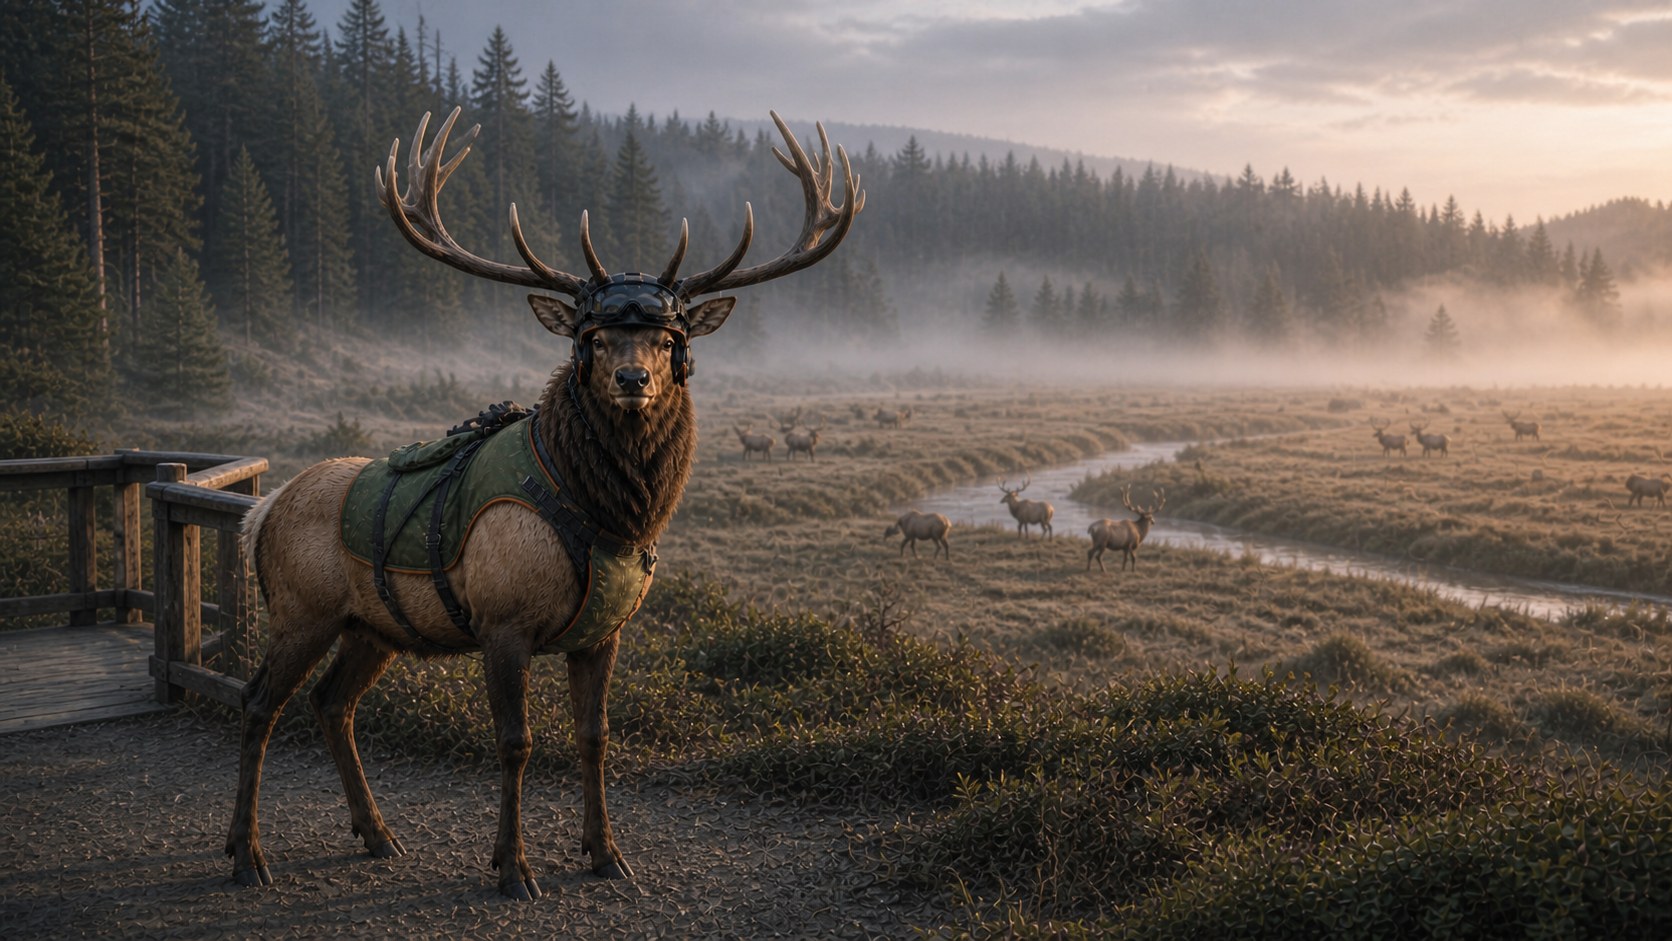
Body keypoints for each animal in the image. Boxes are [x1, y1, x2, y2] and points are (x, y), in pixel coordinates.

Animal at [226, 107, 862, 901]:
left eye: (667, 339)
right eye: (596, 336)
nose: (631, 380)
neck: (611, 516)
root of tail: (261, 511)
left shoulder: (602, 631)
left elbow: (595, 737)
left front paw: (607, 853)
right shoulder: (503, 620)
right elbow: (515, 742)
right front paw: (513, 866)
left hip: (370, 626)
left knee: (331, 704)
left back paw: (375, 833)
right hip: (300, 611)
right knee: (258, 702)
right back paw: (246, 854)